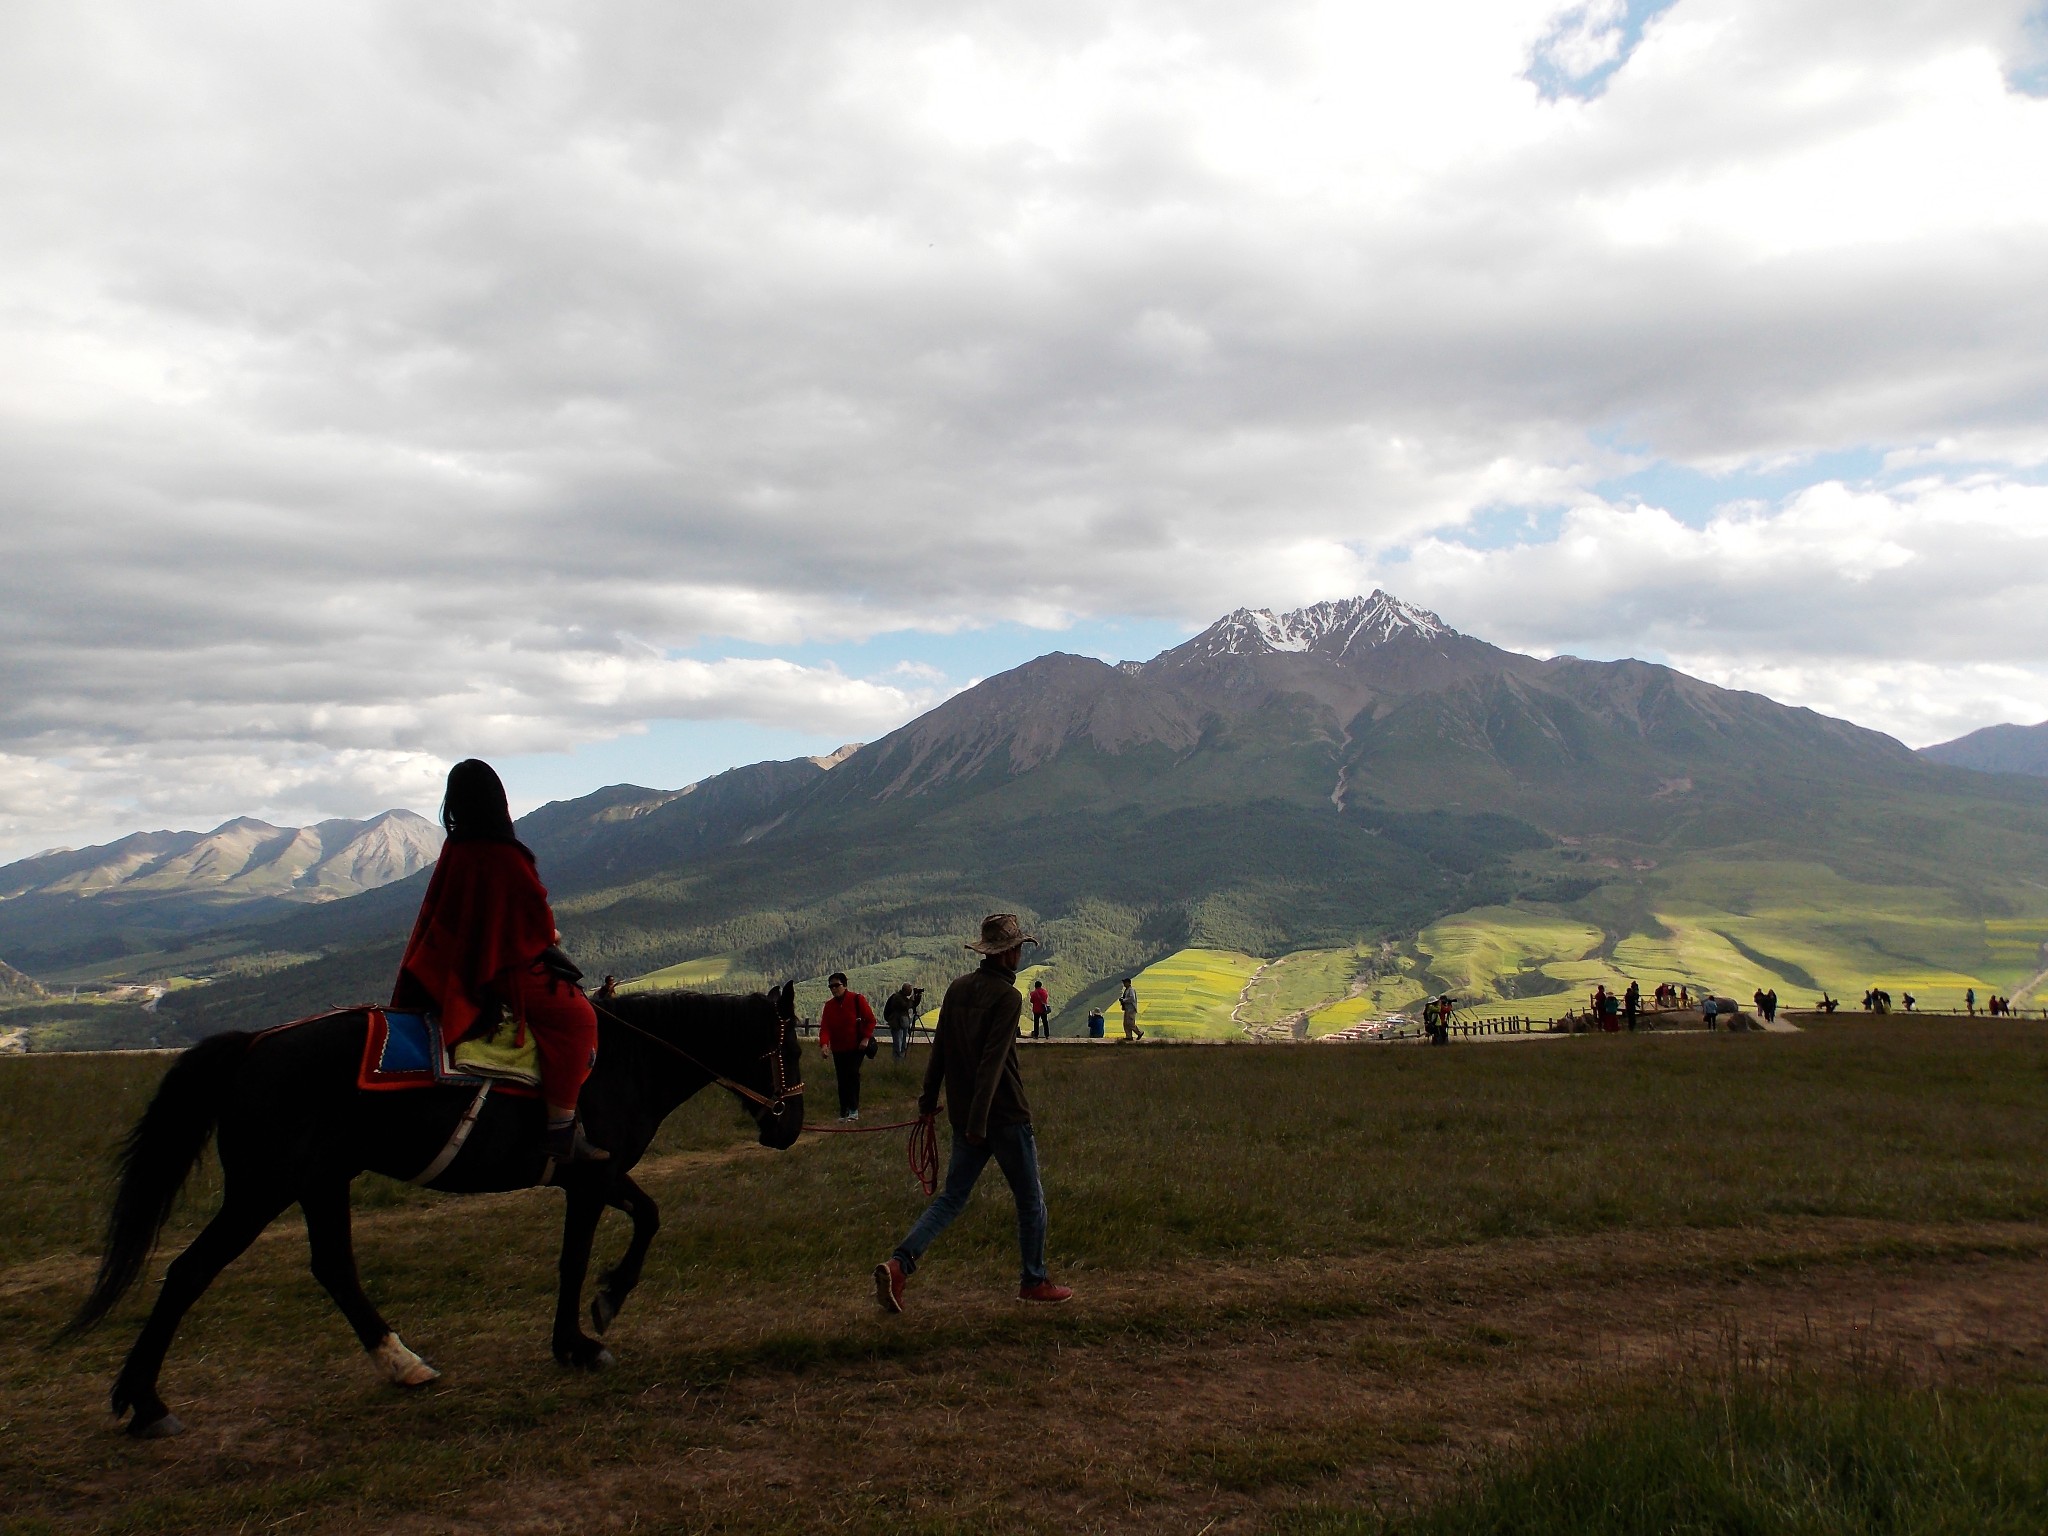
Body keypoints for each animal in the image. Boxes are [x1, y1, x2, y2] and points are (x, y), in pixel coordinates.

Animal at [66, 987, 798, 1441]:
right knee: (189, 1272)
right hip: (263, 1189)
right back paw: (146, 1402)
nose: (789, 1129)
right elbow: (584, 1254)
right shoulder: (591, 1176)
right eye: (787, 1051)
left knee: (333, 1267)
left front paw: (598, 1311)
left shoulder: (596, 1177)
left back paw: (401, 1362)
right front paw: (586, 1331)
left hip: (320, 1182)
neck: (627, 1060)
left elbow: (646, 1218)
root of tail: (253, 1044)